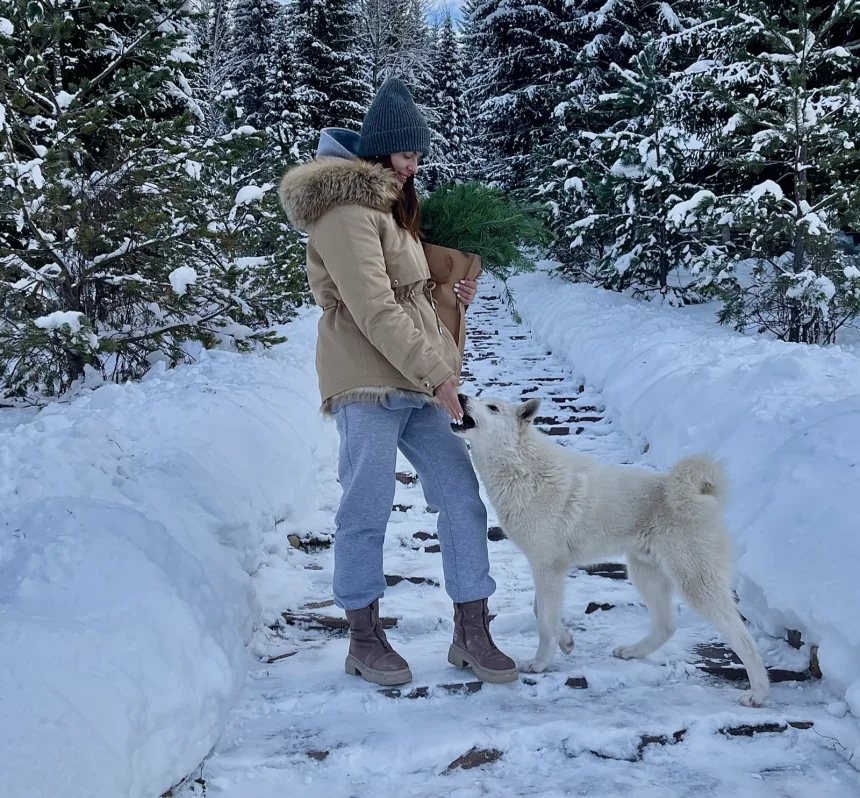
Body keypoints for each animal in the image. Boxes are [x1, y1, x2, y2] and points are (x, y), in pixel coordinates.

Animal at [454, 394, 768, 708]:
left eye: (493, 408)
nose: (461, 396)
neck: (522, 467)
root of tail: (703, 497)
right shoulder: (546, 568)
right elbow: (540, 611)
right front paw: (566, 640)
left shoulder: (548, 568)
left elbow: (544, 621)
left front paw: (540, 663)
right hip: (644, 573)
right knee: (665, 627)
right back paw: (632, 651)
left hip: (695, 583)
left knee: (742, 638)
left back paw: (758, 693)